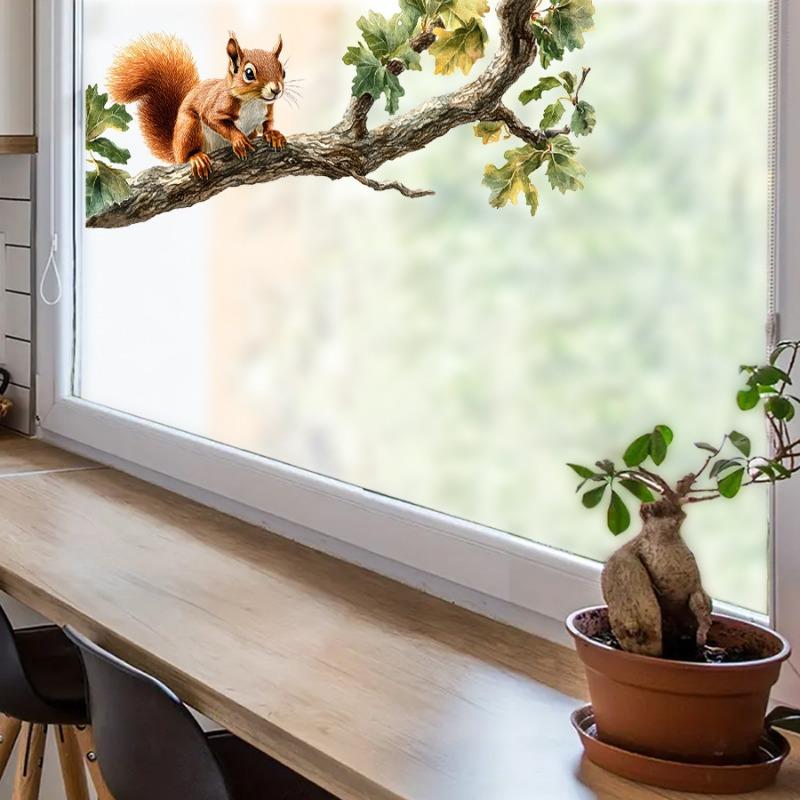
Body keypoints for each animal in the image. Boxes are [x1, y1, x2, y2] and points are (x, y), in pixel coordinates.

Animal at [108, 32, 287, 179]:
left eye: (283, 71)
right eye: (249, 74)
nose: (276, 90)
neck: (254, 102)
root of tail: (175, 148)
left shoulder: (267, 111)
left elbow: (268, 123)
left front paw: (273, 135)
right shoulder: (215, 105)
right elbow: (216, 121)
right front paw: (238, 139)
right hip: (189, 127)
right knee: (186, 155)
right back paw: (196, 158)